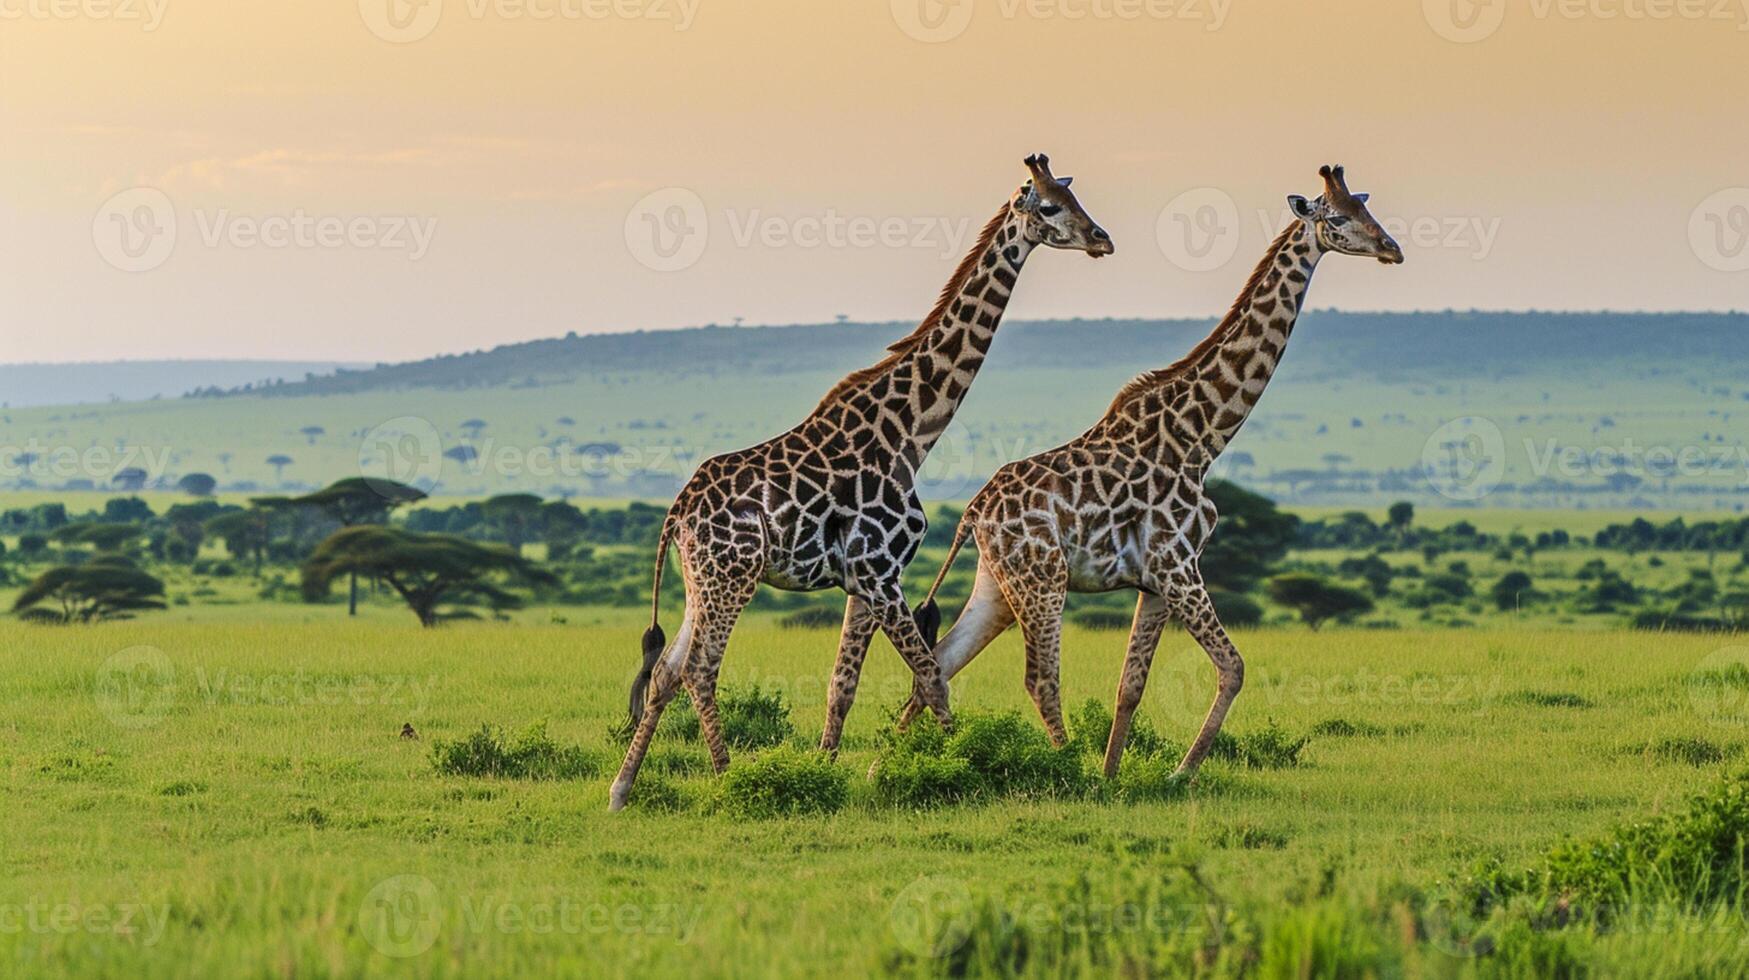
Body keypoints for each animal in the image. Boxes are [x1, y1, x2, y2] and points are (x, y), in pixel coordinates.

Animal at [608, 154, 1112, 812]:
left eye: (1076, 199)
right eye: (1050, 207)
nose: (1102, 239)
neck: (911, 433)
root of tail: (677, 512)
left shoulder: (863, 580)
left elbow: (842, 685)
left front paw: (823, 773)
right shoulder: (880, 571)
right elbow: (931, 678)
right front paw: (969, 768)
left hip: (702, 580)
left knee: (667, 671)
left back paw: (621, 788)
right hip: (731, 575)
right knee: (698, 669)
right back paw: (723, 778)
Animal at [909, 166, 1399, 780]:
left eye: (1366, 209)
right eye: (1336, 219)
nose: (1392, 248)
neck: (1202, 438)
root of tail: (975, 513)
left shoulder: (1157, 581)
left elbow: (1130, 686)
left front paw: (1115, 775)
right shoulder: (1178, 565)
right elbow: (1233, 667)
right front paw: (1178, 773)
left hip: (998, 585)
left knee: (940, 660)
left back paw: (891, 762)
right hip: (1042, 581)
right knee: (1039, 679)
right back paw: (1064, 770)